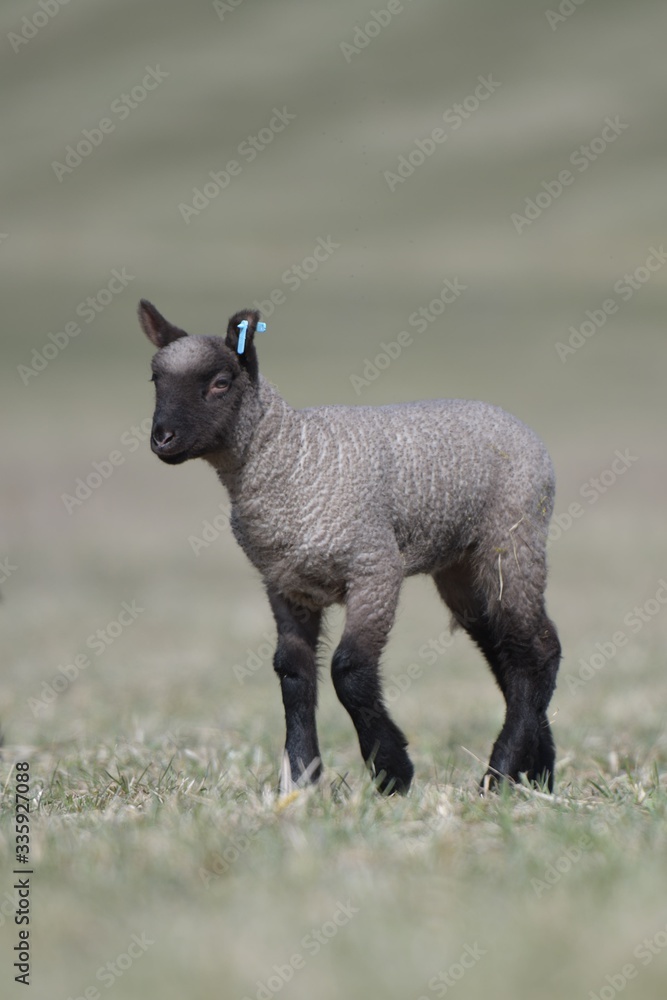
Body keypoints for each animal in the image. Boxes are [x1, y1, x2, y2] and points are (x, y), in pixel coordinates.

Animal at [138, 300, 561, 795]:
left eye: (220, 382)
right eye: (155, 380)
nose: (161, 439)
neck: (287, 456)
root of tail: (516, 424)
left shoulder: (374, 568)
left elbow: (349, 669)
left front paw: (393, 771)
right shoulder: (286, 585)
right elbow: (293, 672)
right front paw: (301, 778)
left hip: (512, 539)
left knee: (536, 649)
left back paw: (500, 774)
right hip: (461, 565)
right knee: (505, 648)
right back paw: (536, 770)